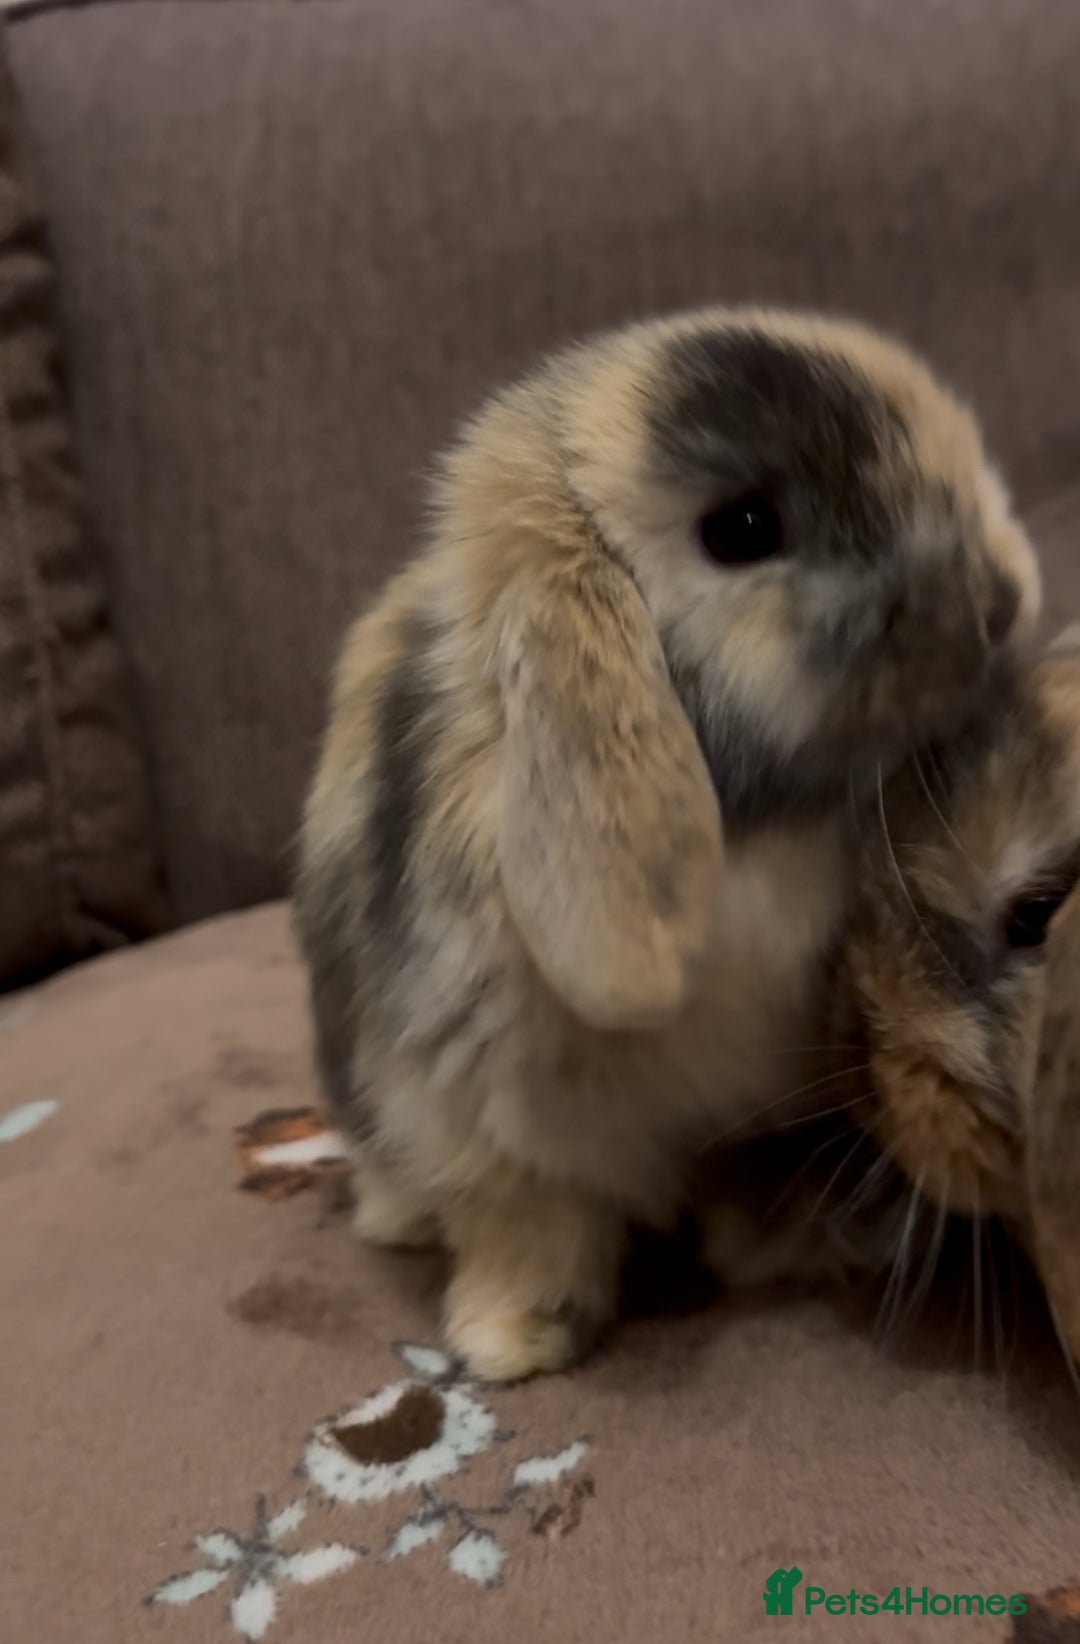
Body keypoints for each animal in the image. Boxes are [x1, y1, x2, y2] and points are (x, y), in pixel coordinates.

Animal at [295, 304, 1039, 1381]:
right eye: (742, 530)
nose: (1003, 601)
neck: (764, 825)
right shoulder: (488, 1116)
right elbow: (531, 1223)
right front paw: (514, 1341)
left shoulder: (777, 1099)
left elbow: (760, 1170)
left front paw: (800, 1242)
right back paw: (404, 1226)